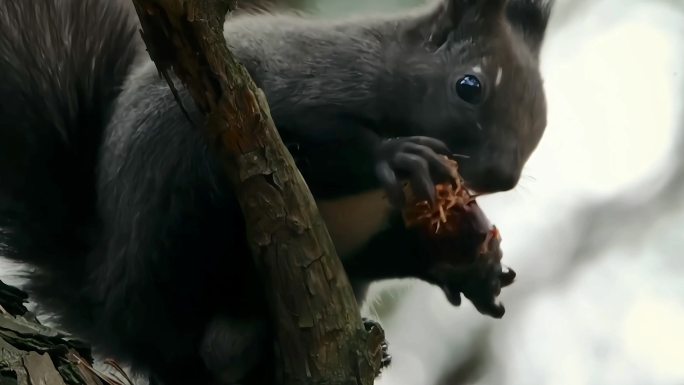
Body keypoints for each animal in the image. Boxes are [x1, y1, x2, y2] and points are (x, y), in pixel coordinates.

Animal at [0, 0, 552, 382]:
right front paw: (394, 155)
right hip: (173, 205)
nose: (502, 177)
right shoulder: (296, 88)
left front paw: (472, 266)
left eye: (542, 115)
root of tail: (104, 297)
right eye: (468, 86)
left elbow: (392, 252)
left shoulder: (368, 234)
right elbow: (302, 143)